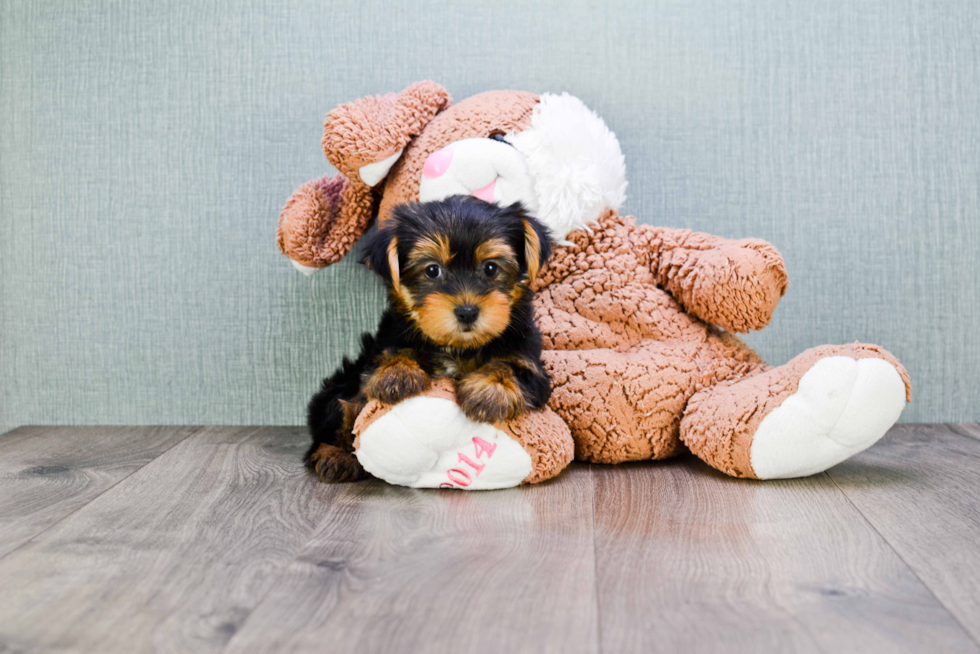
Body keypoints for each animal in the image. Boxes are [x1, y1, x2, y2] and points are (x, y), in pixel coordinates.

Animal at [304, 195, 552, 482]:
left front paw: (490, 391)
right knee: (340, 411)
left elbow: (513, 365)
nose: (467, 311)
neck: (458, 347)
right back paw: (336, 456)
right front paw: (397, 373)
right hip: (339, 386)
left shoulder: (530, 358)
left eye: (491, 268)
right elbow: (395, 351)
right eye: (432, 270)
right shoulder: (386, 342)